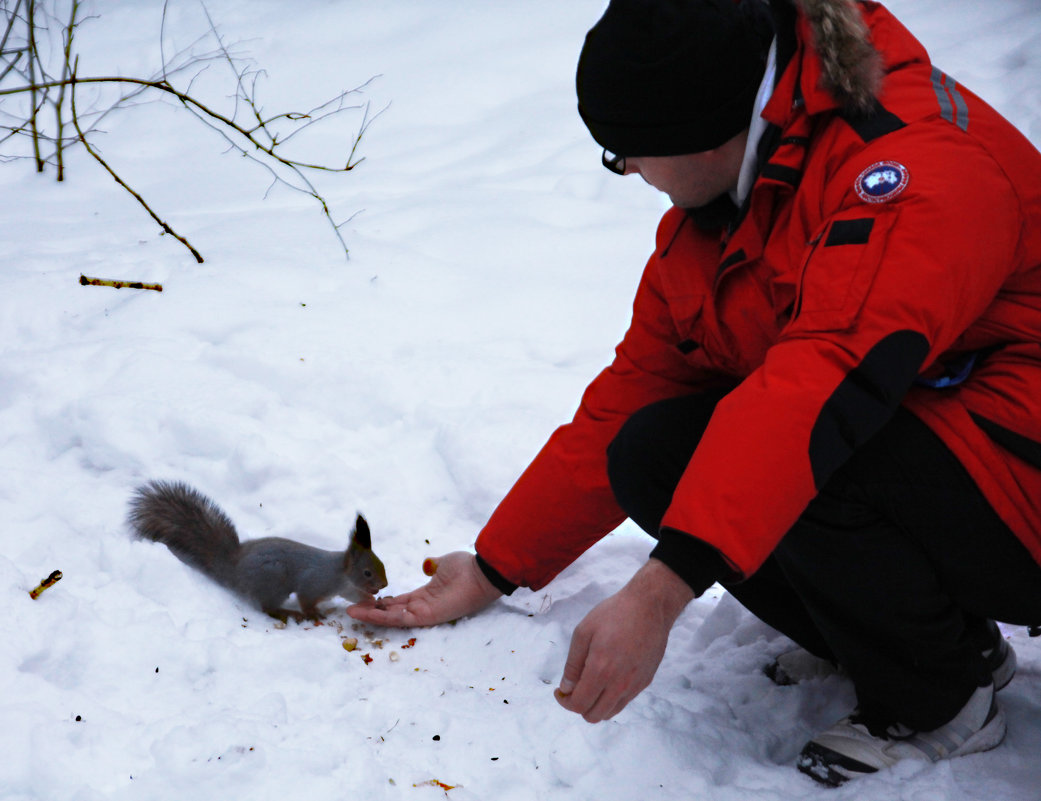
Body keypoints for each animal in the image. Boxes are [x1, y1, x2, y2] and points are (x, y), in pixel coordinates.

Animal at [128, 479, 389, 620]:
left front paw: (373, 600)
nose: (384, 585)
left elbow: (355, 595)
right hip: (275, 580)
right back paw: (287, 612)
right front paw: (313, 613)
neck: (340, 573)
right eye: (367, 572)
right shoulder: (315, 582)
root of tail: (233, 568)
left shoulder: (347, 588)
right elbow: (306, 599)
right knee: (266, 608)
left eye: (382, 565)